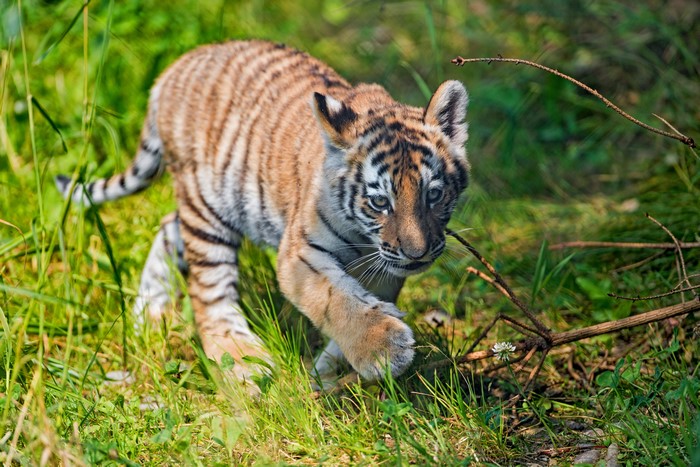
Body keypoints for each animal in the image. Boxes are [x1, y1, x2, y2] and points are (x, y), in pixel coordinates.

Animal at [56, 40, 470, 384]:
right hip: (207, 209)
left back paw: (149, 313)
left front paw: (329, 371)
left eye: (434, 195)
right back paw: (240, 360)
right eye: (380, 202)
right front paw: (383, 349)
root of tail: (176, 67)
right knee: (210, 295)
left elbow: (362, 302)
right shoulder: (299, 254)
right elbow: (335, 300)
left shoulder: (383, 266)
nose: (417, 254)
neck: (363, 236)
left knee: (168, 225)